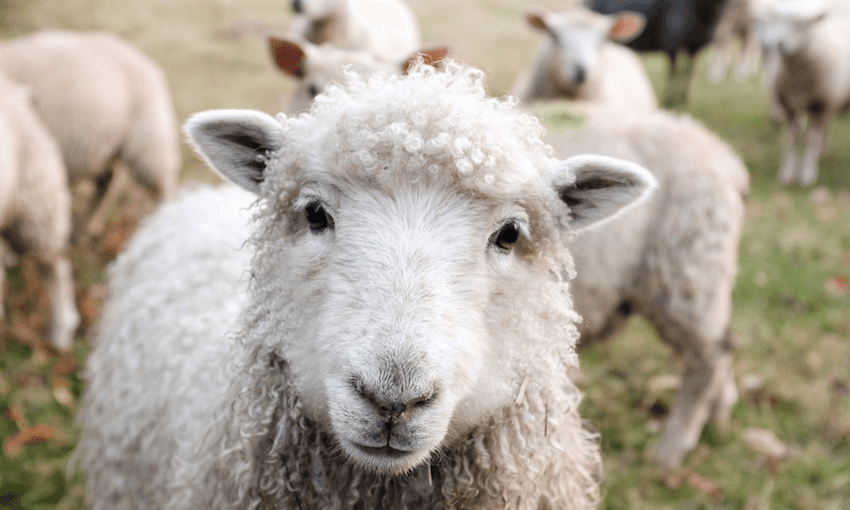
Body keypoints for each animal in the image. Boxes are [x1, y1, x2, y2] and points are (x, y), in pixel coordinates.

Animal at [0, 29, 179, 239]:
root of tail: (147, 62)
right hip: (102, 145)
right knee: (107, 182)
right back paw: (82, 228)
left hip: (148, 138)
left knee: (161, 185)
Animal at [534, 100, 749, 467]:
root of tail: (726, 158)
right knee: (721, 345)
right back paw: (719, 414)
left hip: (685, 270)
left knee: (710, 356)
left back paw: (672, 449)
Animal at [583, 0, 732, 106]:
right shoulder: (674, 45)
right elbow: (675, 75)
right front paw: (671, 102)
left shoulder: (693, 49)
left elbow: (687, 75)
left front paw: (682, 101)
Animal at [757, 0, 850, 185]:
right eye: (777, 19)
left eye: (802, 24)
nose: (778, 43)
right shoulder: (788, 105)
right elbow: (791, 138)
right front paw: (787, 172)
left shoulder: (820, 104)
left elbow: (812, 139)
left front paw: (807, 173)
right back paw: (822, 152)